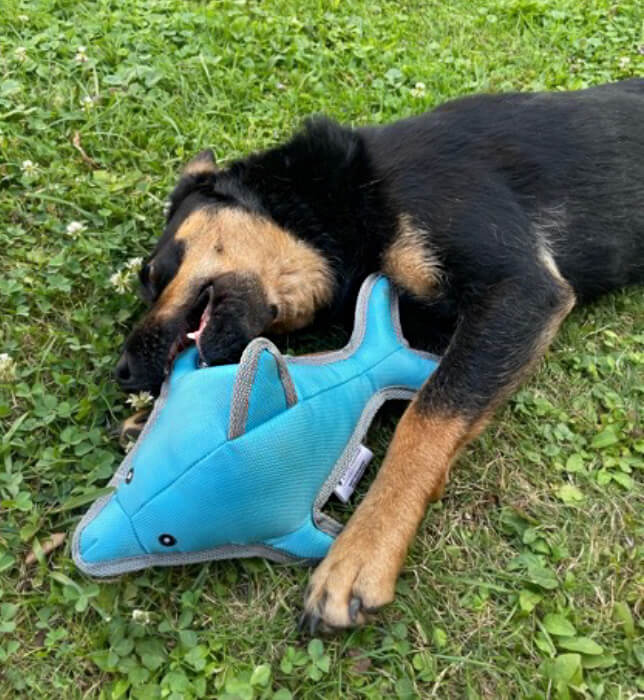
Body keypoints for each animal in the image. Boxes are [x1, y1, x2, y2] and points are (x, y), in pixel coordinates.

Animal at [115, 79, 644, 630]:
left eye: (150, 274)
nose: (122, 373)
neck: (347, 200)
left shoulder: (520, 290)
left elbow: (425, 418)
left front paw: (362, 551)